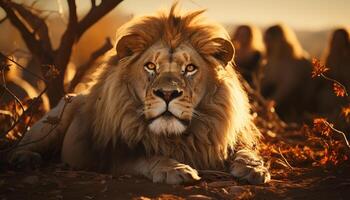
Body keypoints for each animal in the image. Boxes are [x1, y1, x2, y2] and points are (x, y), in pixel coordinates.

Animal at [8, 4, 270, 185]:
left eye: (190, 68)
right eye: (151, 66)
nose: (167, 93)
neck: (178, 136)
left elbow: (247, 151)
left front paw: (254, 168)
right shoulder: (115, 153)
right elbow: (149, 157)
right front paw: (175, 170)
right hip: (54, 119)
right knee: (23, 144)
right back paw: (24, 159)